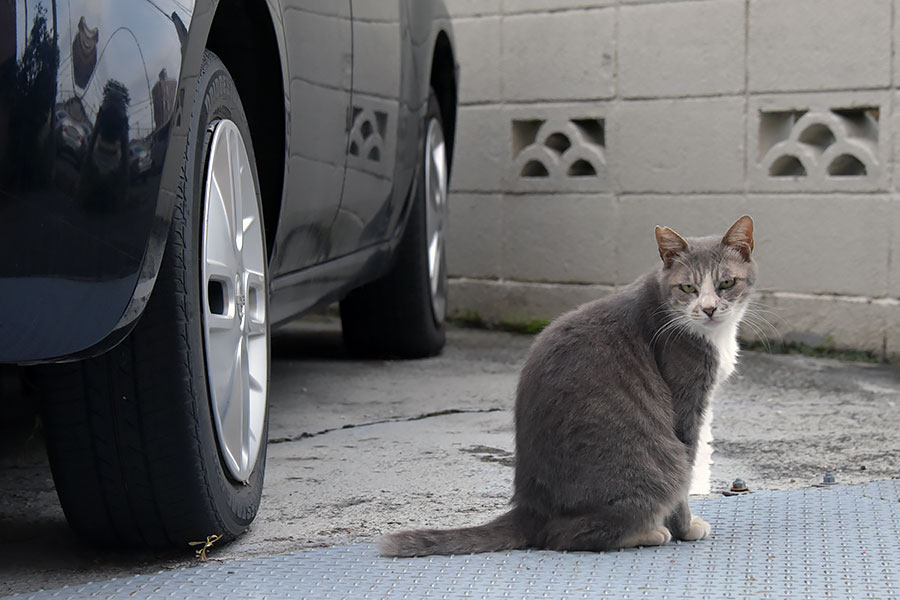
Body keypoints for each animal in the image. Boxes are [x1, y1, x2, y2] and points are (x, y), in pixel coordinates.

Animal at [382, 216, 760, 556]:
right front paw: (686, 528)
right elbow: (686, 474)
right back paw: (649, 533)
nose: (708, 309)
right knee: (565, 537)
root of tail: (530, 511)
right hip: (657, 466)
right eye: (688, 288)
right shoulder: (686, 404)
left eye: (726, 283)